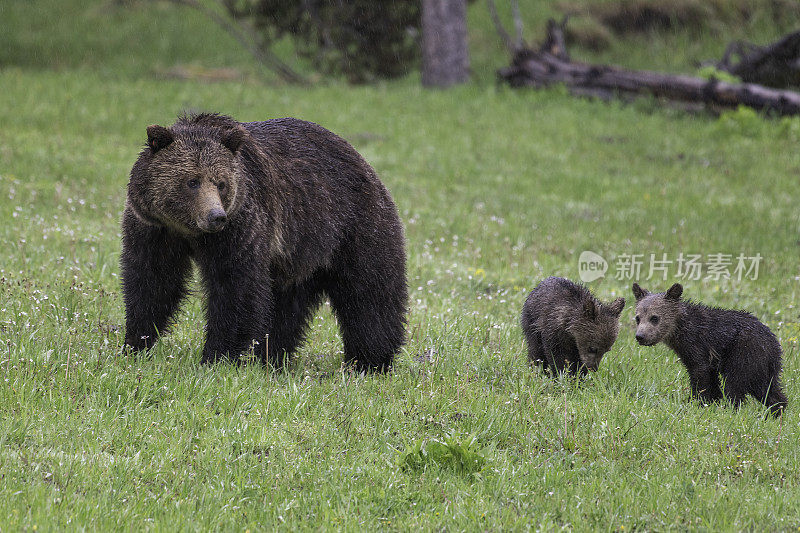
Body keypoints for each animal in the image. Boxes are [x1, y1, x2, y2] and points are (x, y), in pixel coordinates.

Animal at [636, 282, 792, 416]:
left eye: (654, 318)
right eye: (638, 318)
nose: (640, 336)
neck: (680, 330)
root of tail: (774, 344)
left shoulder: (699, 346)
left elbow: (701, 375)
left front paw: (697, 402)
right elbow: (711, 380)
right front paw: (710, 402)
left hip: (745, 353)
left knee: (735, 385)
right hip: (765, 366)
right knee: (768, 389)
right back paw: (777, 410)